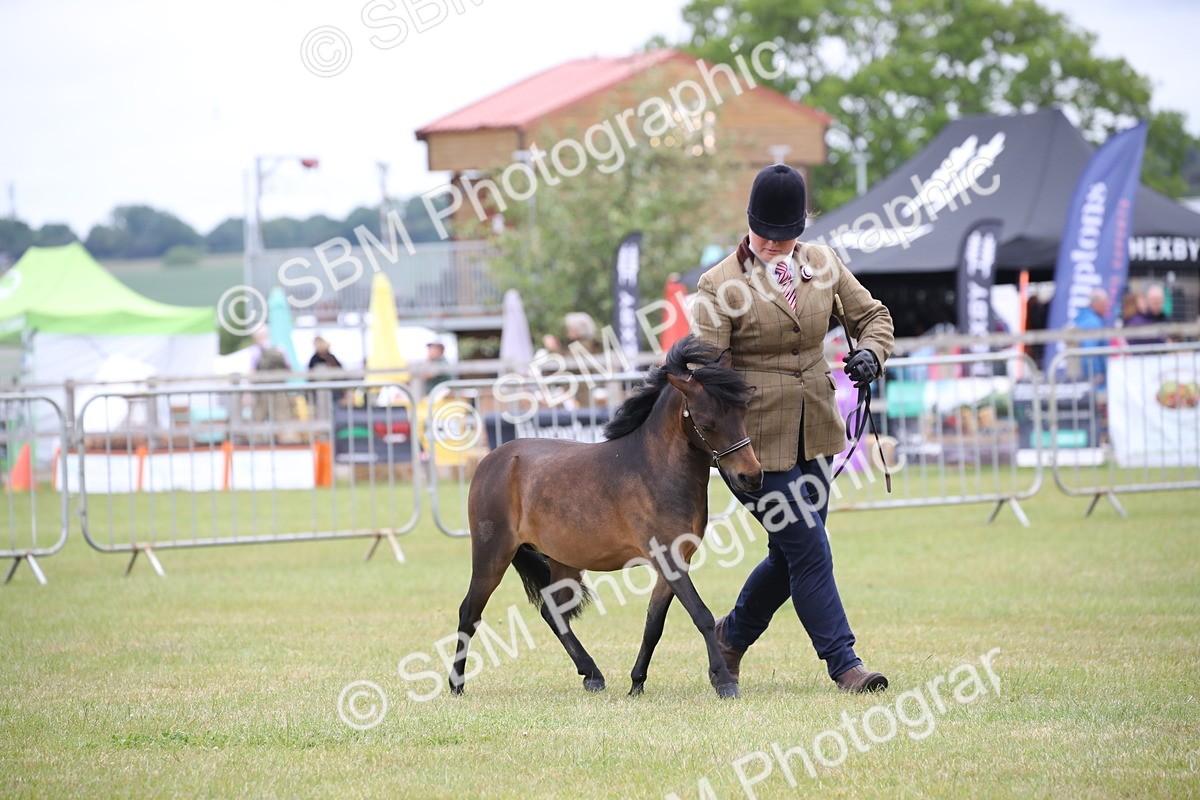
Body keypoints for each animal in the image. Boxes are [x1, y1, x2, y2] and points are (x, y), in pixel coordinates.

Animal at [448, 335, 763, 699]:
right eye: (707, 422)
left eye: (743, 411)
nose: (751, 477)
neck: (653, 468)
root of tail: (490, 460)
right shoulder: (667, 558)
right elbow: (701, 614)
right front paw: (724, 681)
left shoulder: (675, 562)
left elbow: (653, 624)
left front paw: (637, 683)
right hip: (492, 554)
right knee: (469, 611)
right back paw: (456, 684)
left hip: (564, 562)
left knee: (552, 612)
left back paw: (592, 674)